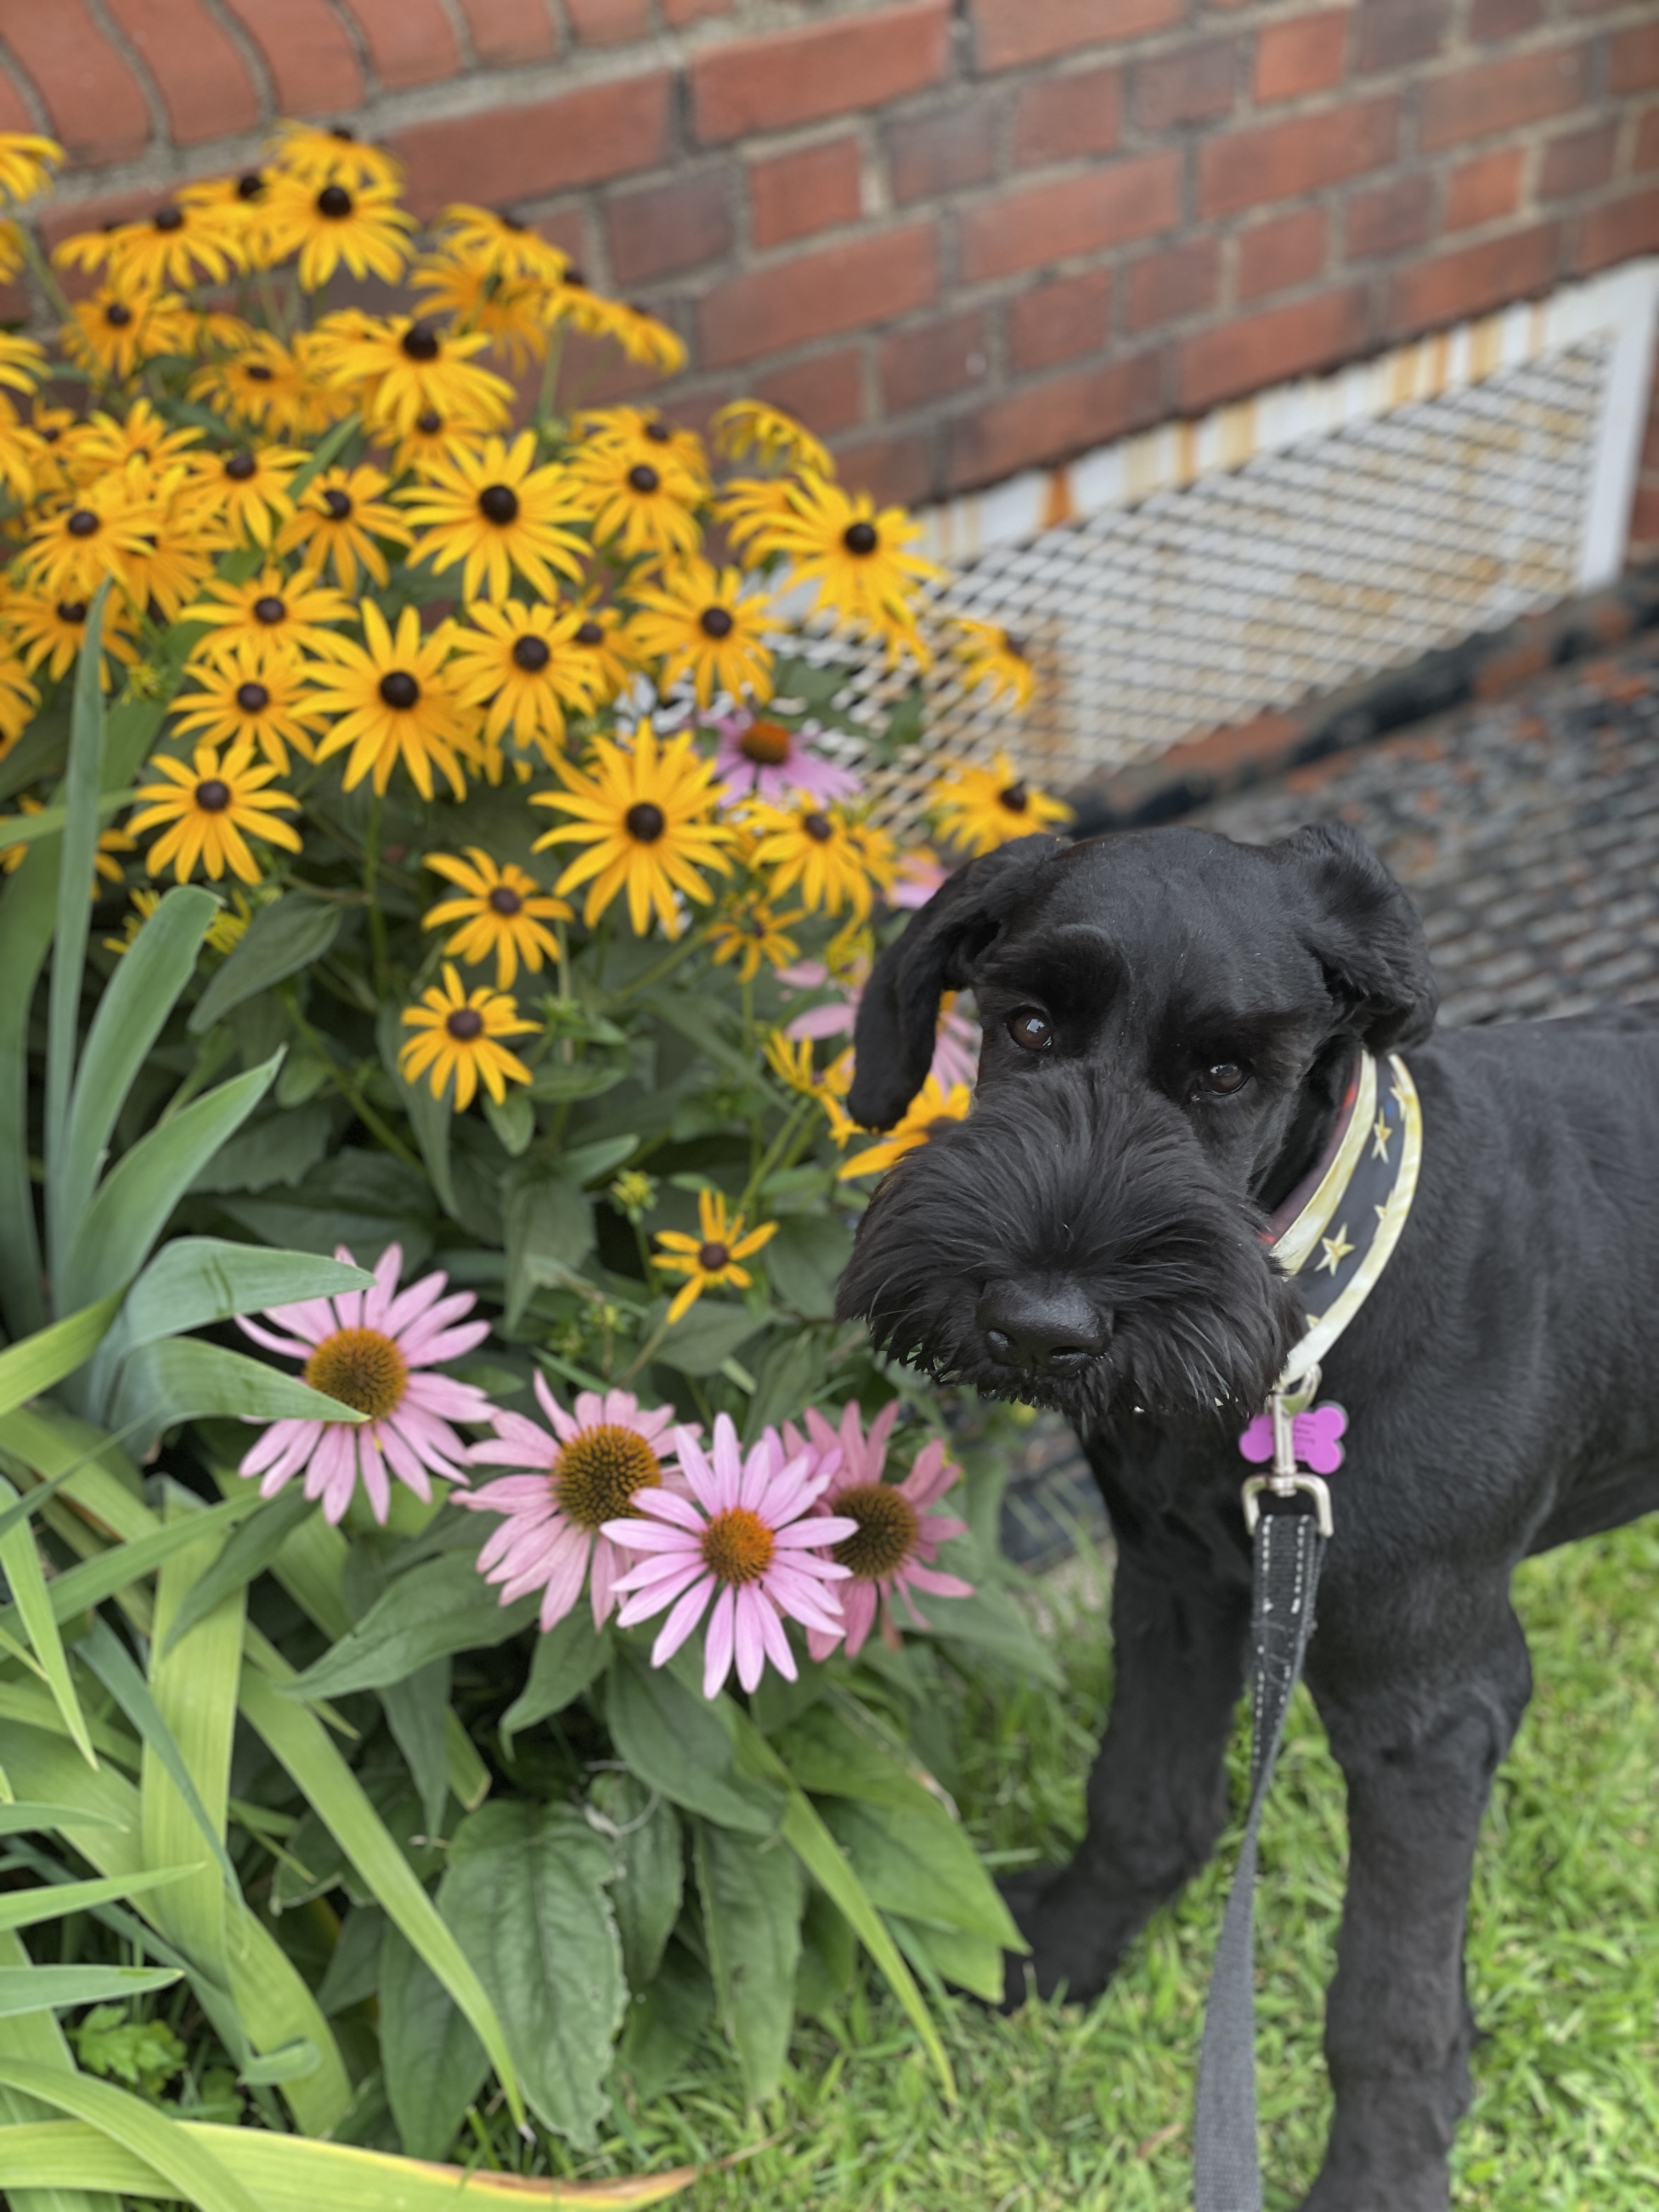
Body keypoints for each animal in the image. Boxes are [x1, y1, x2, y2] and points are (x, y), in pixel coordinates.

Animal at [836, 827, 1659, 2212]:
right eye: (1027, 1025)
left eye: (1227, 1075)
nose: (1039, 1324)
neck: (1293, 1349)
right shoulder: (1177, 1584)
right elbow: (1141, 1799)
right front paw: (1060, 1954)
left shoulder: (1428, 1711)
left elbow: (1385, 2001)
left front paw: (1384, 2173)